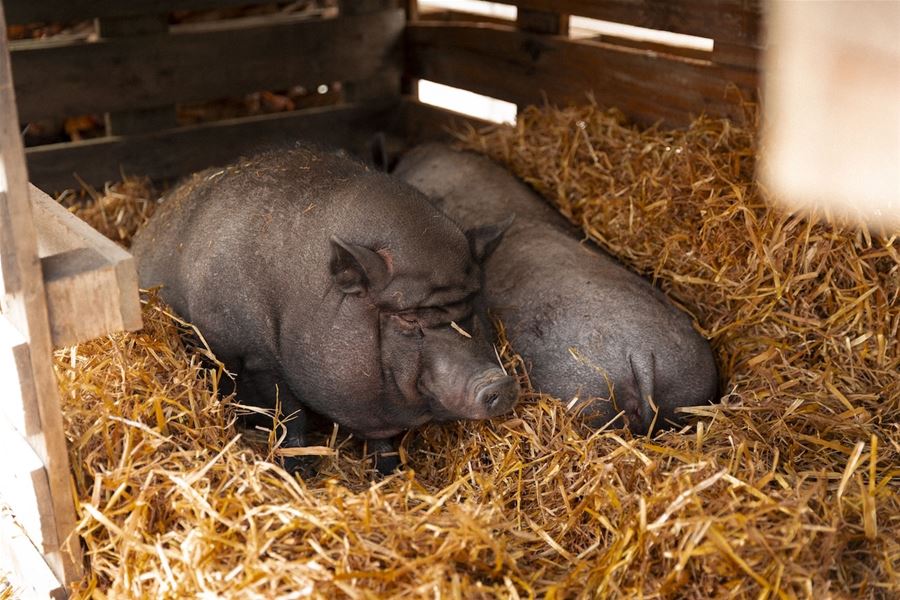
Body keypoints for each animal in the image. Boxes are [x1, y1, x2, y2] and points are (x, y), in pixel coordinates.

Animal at [130, 146, 519, 473]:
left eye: (473, 303)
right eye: (408, 317)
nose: (499, 381)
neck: (298, 295)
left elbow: (380, 438)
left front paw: (391, 471)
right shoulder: (256, 358)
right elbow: (290, 416)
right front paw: (300, 471)